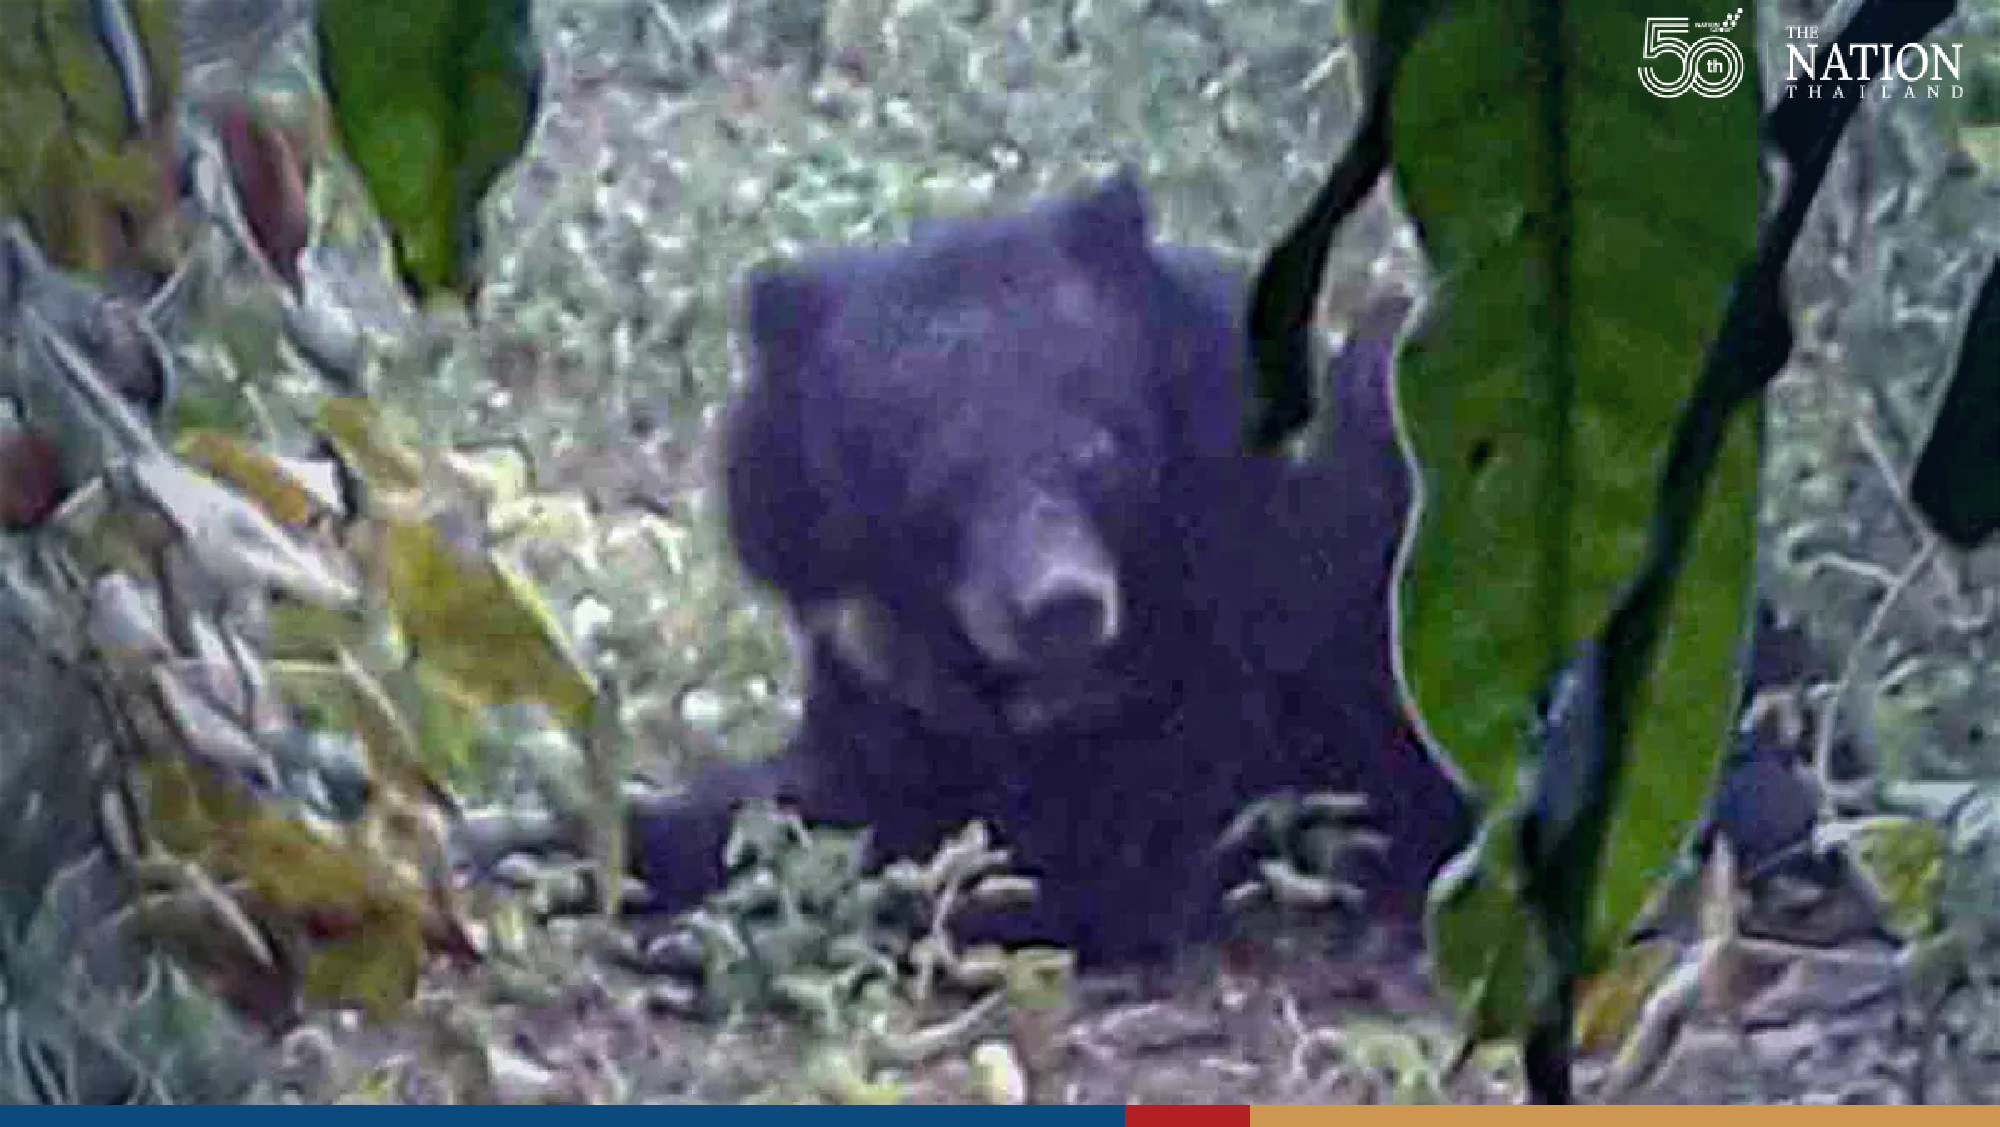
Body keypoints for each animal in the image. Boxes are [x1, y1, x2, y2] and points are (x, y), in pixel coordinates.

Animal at [625, 168, 1474, 971]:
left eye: (1097, 449)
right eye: (936, 478)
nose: (1062, 606)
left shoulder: (1231, 650)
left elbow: (1069, 863)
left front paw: (705, 933)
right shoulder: (870, 660)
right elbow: (793, 790)